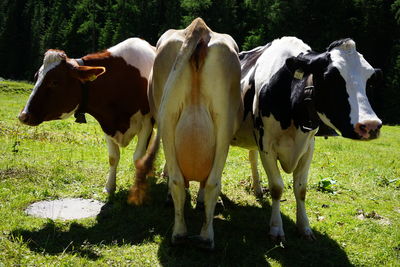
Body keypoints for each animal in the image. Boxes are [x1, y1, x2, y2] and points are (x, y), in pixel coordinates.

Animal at [19, 37, 156, 196]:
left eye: (54, 82)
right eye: (36, 77)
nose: (23, 116)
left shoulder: (147, 122)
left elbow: (138, 158)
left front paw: (138, 189)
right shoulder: (107, 123)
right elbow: (113, 157)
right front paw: (109, 187)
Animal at [129, 17, 241, 250]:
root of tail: (200, 27)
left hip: (170, 119)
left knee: (179, 180)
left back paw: (180, 233)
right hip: (222, 122)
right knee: (209, 181)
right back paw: (204, 236)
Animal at [233, 37, 382, 243]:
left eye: (369, 80)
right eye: (330, 77)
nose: (371, 125)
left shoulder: (308, 147)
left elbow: (301, 189)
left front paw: (304, 227)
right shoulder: (266, 145)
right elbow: (277, 187)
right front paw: (276, 229)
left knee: (251, 157)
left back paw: (257, 189)